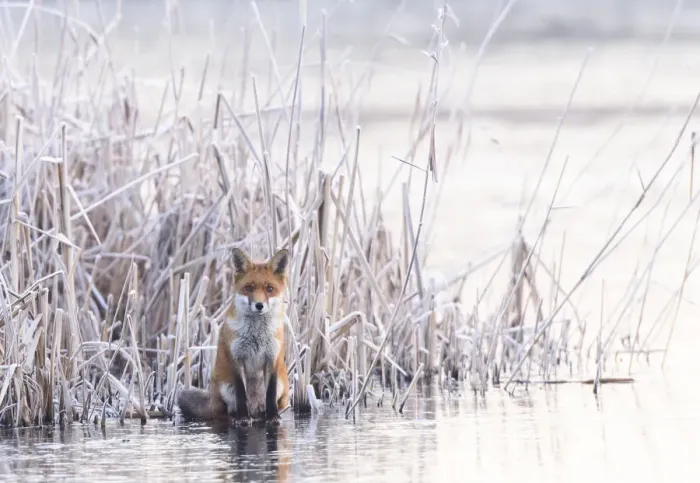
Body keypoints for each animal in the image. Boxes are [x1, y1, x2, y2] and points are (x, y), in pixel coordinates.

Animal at [177, 247, 290, 426]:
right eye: (249, 288)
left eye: (269, 289)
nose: (259, 305)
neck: (256, 334)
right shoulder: (236, 358)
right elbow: (241, 393)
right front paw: (243, 418)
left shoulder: (272, 358)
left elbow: (270, 394)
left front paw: (272, 417)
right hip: (224, 388)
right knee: (225, 412)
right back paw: (237, 416)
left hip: (282, 385)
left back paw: (264, 415)